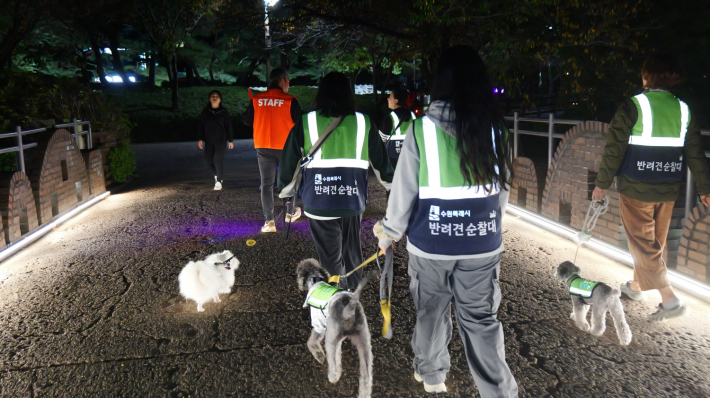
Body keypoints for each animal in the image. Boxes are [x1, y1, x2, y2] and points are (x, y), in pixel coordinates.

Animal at [296, 258, 376, 398]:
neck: (315, 280)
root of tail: (349, 308)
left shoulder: (319, 325)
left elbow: (311, 341)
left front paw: (318, 355)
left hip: (331, 338)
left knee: (334, 361)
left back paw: (333, 377)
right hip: (363, 341)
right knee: (366, 375)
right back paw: (364, 393)